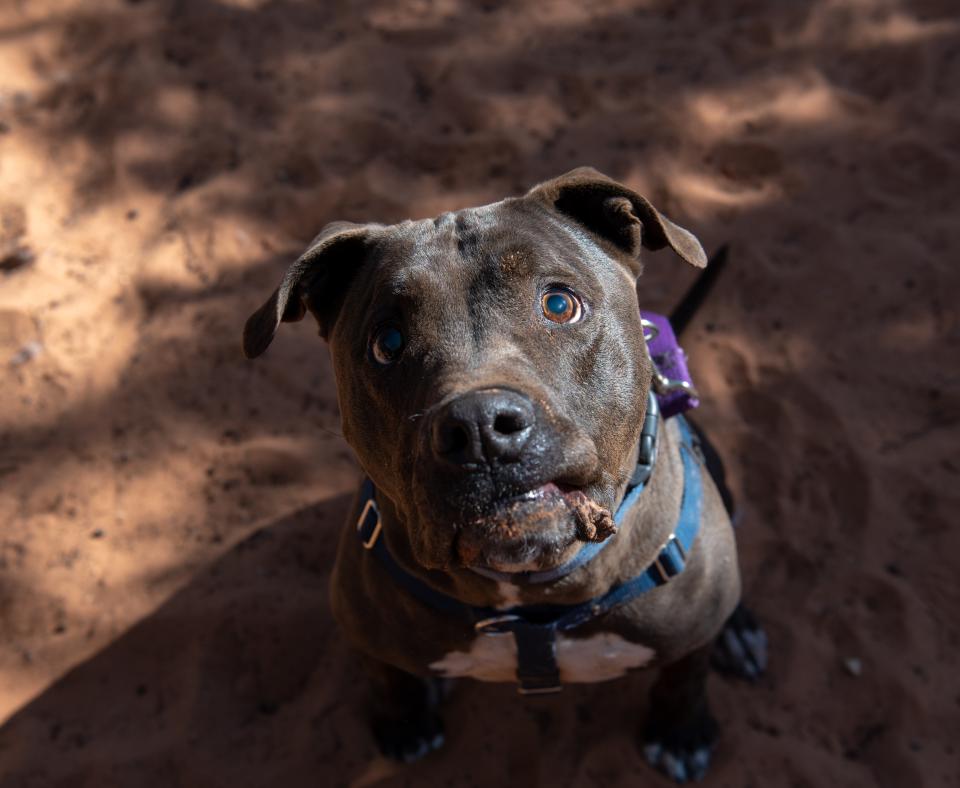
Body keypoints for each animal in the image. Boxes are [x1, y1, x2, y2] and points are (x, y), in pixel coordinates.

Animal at [244, 166, 768, 780]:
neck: (531, 601)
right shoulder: (360, 622)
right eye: (386, 343)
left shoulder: (691, 630)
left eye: (560, 304)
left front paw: (680, 735)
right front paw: (405, 723)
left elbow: (685, 677)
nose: (479, 427)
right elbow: (387, 677)